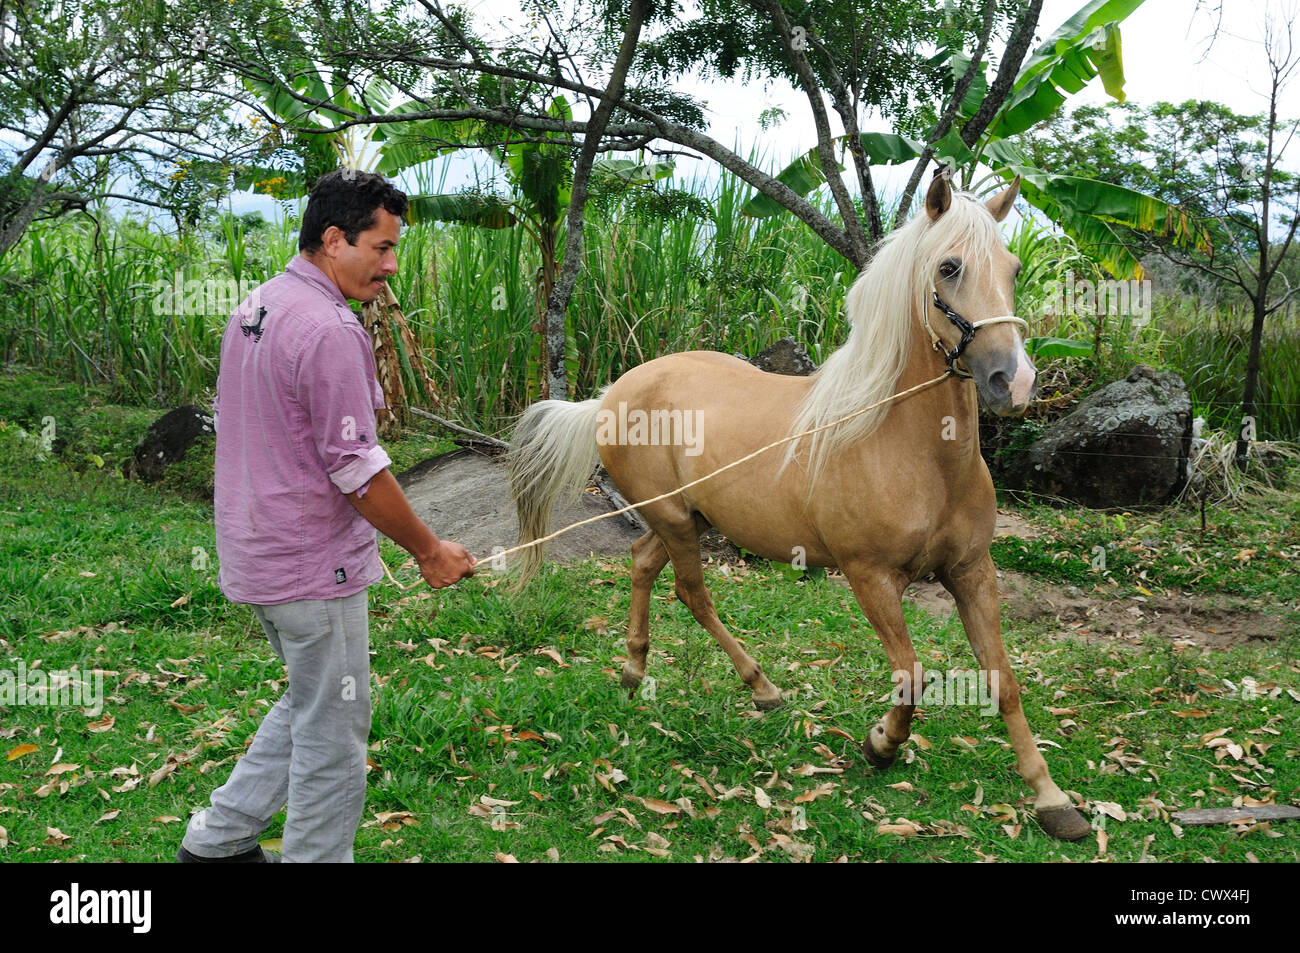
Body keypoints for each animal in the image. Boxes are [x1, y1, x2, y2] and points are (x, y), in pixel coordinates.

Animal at [506, 173, 1092, 841]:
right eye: (949, 267)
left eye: (1014, 268)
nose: (1012, 383)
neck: (910, 450)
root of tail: (611, 393)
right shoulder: (870, 577)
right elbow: (912, 674)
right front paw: (880, 744)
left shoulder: (972, 572)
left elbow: (1004, 679)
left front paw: (1051, 798)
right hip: (677, 520)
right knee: (690, 591)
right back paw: (759, 686)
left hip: (686, 516)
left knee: (642, 562)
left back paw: (640, 671)